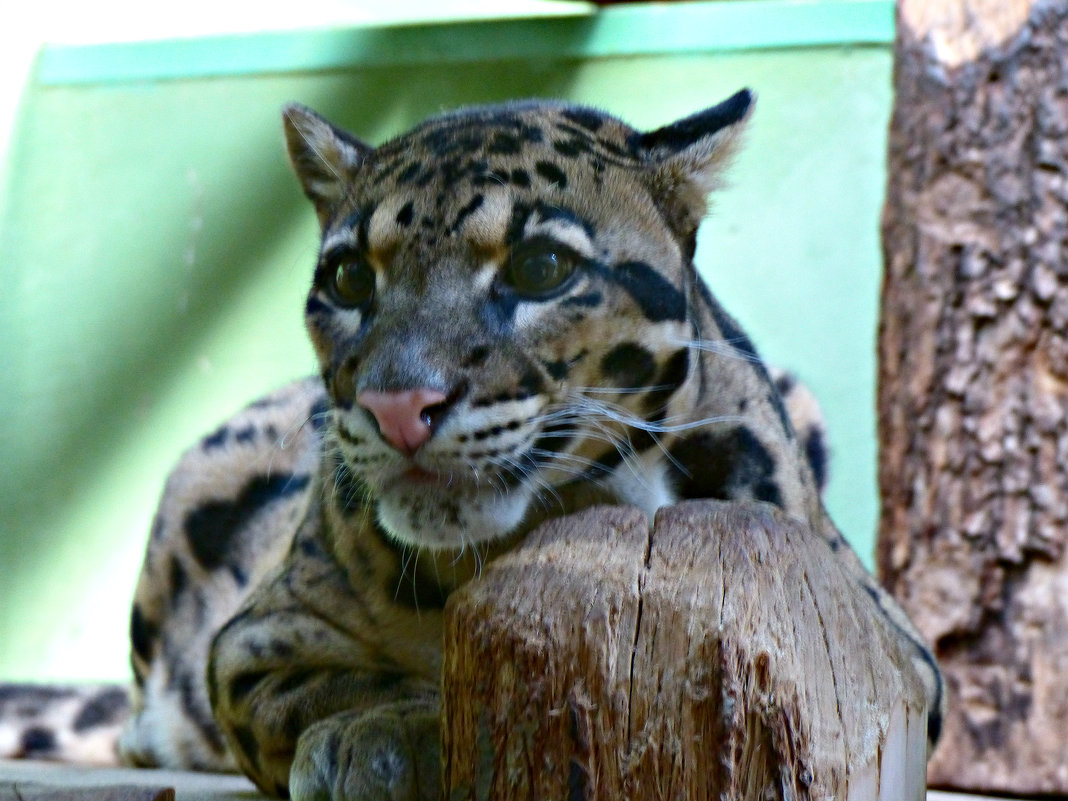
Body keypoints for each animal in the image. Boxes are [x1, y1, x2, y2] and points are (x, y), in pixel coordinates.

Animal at [0, 90, 939, 798]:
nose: (397, 404)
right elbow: (330, 679)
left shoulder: (896, 653)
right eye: (349, 278)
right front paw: (389, 726)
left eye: (540, 267)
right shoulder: (250, 640)